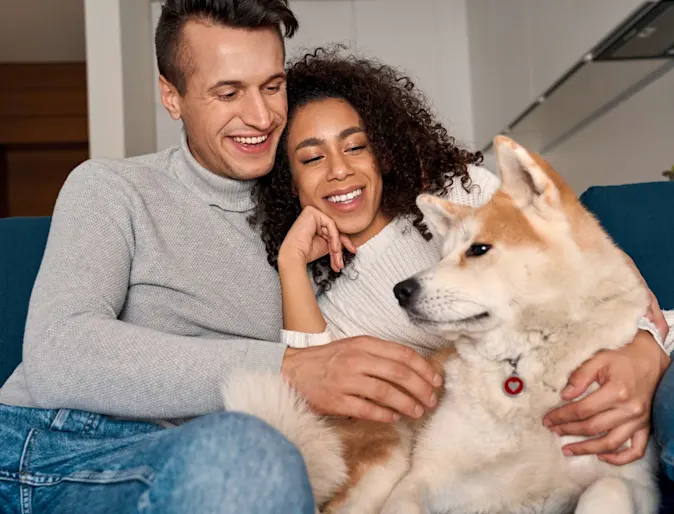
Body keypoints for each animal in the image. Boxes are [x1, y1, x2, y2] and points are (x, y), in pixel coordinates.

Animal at [220, 136, 656, 512]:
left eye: (478, 249)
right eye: (444, 255)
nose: (401, 290)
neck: (523, 369)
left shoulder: (630, 481)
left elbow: (609, 487)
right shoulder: (424, 481)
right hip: (385, 460)